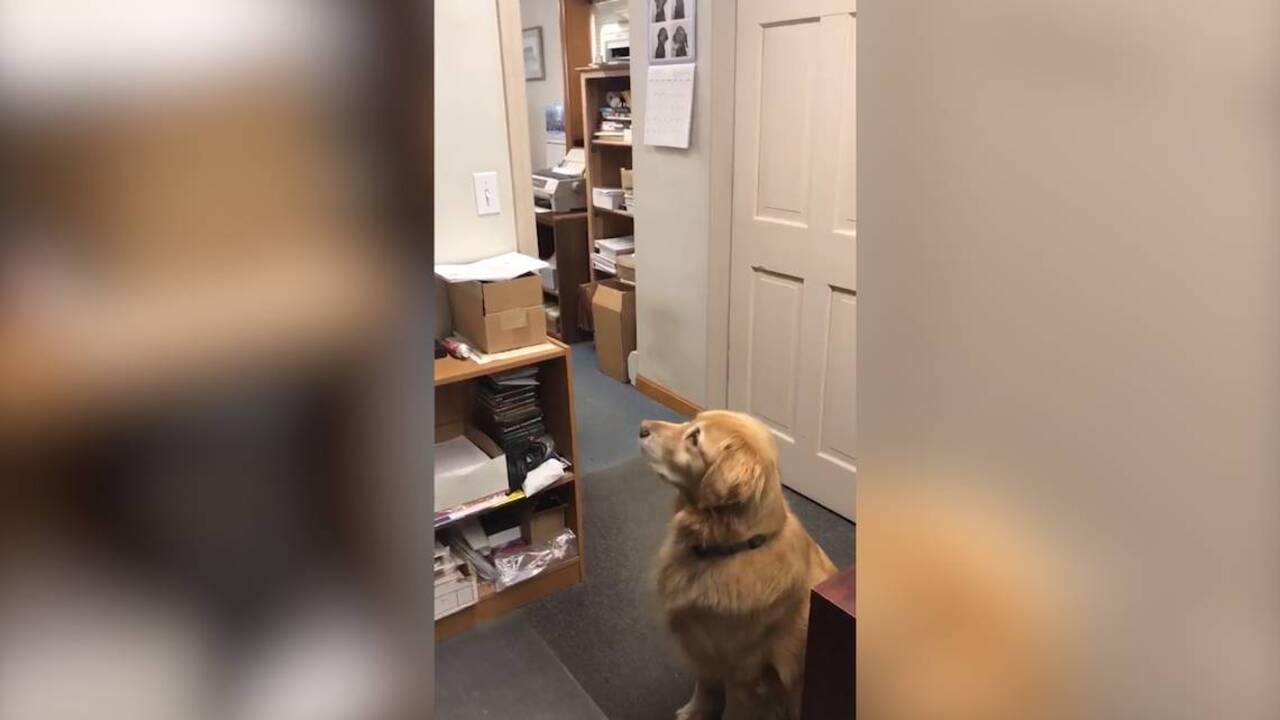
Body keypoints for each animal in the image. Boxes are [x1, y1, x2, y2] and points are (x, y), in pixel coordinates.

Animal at [640, 409, 839, 717]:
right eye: (690, 422)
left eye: (695, 439)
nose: (642, 428)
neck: (722, 550)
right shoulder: (703, 648)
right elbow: (704, 686)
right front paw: (694, 712)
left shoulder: (743, 674)